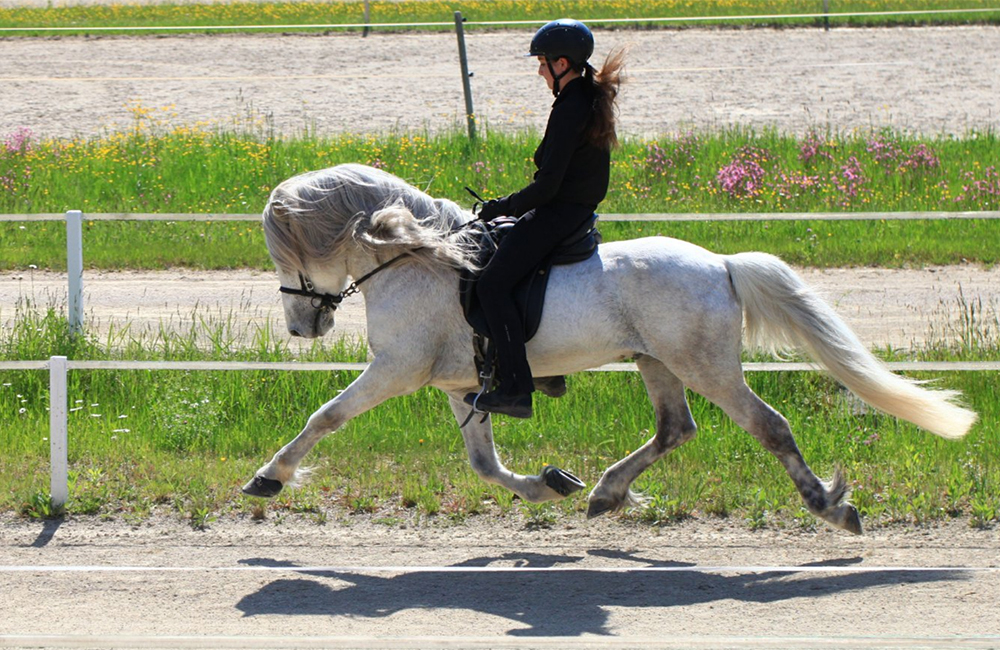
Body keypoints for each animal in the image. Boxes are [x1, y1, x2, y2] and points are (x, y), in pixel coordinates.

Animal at [242, 163, 976, 532]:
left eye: (287, 253)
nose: (301, 329)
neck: (418, 256)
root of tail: (722, 265)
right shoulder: (459, 383)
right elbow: (483, 464)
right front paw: (547, 484)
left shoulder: (396, 369)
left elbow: (325, 418)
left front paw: (270, 476)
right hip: (658, 363)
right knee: (675, 429)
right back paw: (604, 492)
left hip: (704, 365)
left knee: (768, 426)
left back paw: (831, 505)